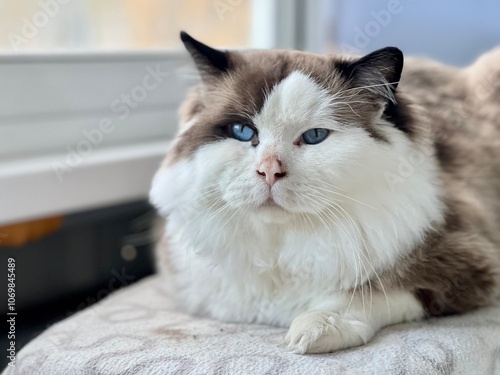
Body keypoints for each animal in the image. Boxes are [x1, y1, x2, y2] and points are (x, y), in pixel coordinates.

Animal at [150, 32, 500, 356]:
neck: (281, 246)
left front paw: (316, 327)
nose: (269, 171)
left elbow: (370, 292)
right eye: (242, 131)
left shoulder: (468, 265)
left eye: (315, 136)